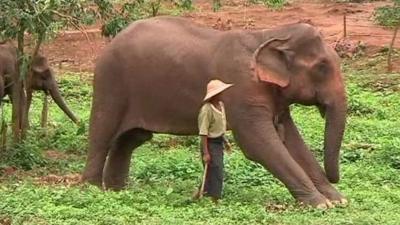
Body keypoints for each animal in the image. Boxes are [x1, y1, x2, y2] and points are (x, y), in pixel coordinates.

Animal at [83, 16, 348, 208]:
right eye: (322, 67)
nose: (334, 178)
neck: (269, 34)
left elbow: (293, 142)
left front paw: (337, 201)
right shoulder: (242, 91)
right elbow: (258, 145)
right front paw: (320, 204)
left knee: (131, 139)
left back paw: (117, 191)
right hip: (110, 82)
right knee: (102, 134)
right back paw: (93, 190)